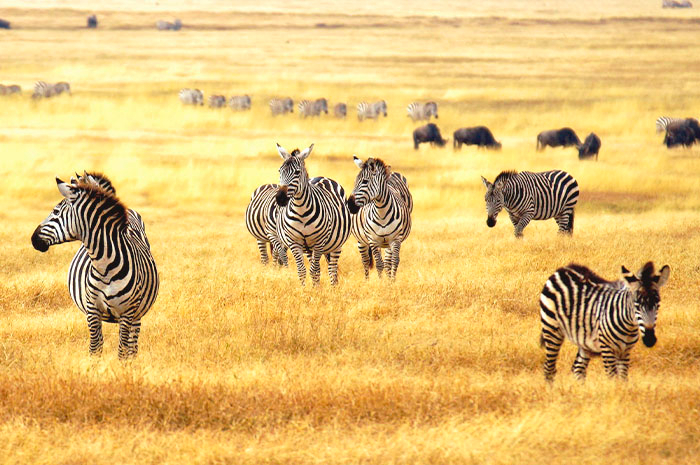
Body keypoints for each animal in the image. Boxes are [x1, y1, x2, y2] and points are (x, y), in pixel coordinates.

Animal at [31, 174, 159, 358]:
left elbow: (122, 351)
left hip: (137, 314)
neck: (105, 266)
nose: (33, 239)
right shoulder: (92, 310)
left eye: (55, 212)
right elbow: (95, 348)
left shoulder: (127, 313)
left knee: (132, 347)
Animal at [272, 143, 350, 284]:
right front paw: (304, 288)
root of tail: (323, 177)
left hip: (336, 245)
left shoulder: (319, 242)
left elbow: (314, 270)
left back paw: (333, 286)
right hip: (309, 248)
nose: (280, 198)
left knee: (332, 269)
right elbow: (302, 270)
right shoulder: (294, 242)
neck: (300, 211)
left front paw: (315, 289)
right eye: (280, 171)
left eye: (297, 172)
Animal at [540, 260, 668, 380]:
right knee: (549, 369)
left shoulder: (625, 351)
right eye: (636, 305)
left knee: (578, 368)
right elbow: (612, 378)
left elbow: (623, 379)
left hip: (584, 341)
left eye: (658, 305)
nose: (650, 340)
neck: (629, 327)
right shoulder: (607, 349)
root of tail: (564, 269)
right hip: (551, 329)